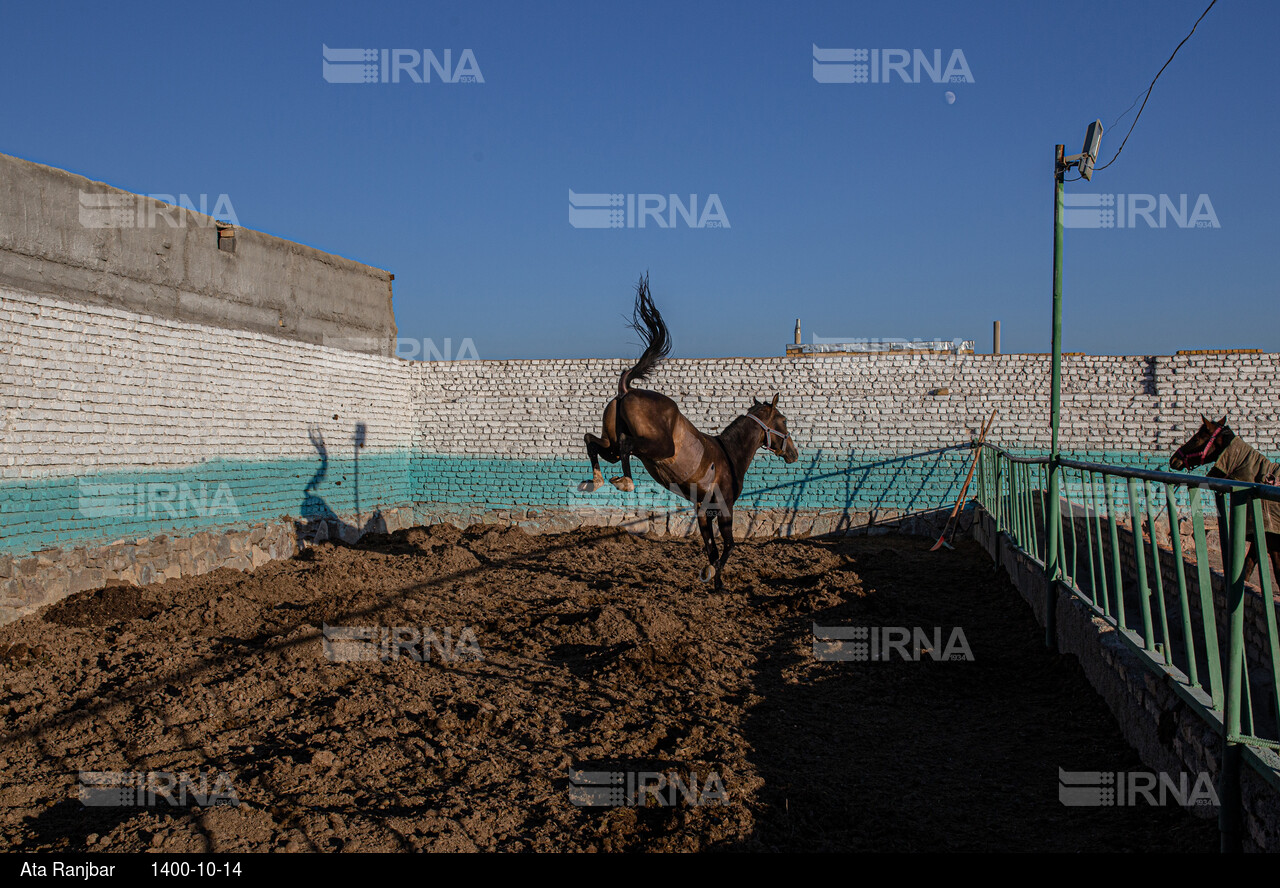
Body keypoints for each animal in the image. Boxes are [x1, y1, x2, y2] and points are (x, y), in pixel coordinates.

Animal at [583, 271, 798, 591]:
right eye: (782, 420)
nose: (794, 453)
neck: (729, 455)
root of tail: (627, 390)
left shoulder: (703, 512)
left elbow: (712, 549)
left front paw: (714, 580)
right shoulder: (723, 509)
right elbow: (729, 546)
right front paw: (712, 577)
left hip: (610, 443)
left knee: (596, 443)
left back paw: (595, 481)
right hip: (656, 447)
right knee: (626, 446)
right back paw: (625, 482)